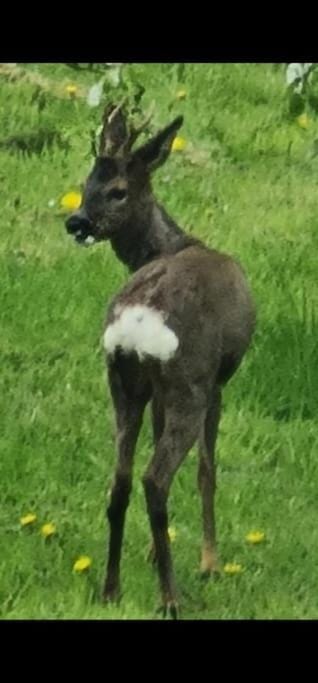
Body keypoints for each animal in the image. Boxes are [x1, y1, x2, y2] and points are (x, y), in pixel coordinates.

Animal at [64, 103, 256, 620]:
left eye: (114, 190)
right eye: (87, 183)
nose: (76, 221)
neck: (174, 243)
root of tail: (138, 319)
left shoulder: (155, 393)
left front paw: (154, 551)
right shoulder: (217, 381)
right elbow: (208, 470)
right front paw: (210, 561)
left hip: (124, 382)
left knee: (121, 480)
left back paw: (111, 588)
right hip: (189, 381)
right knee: (156, 478)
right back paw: (170, 597)